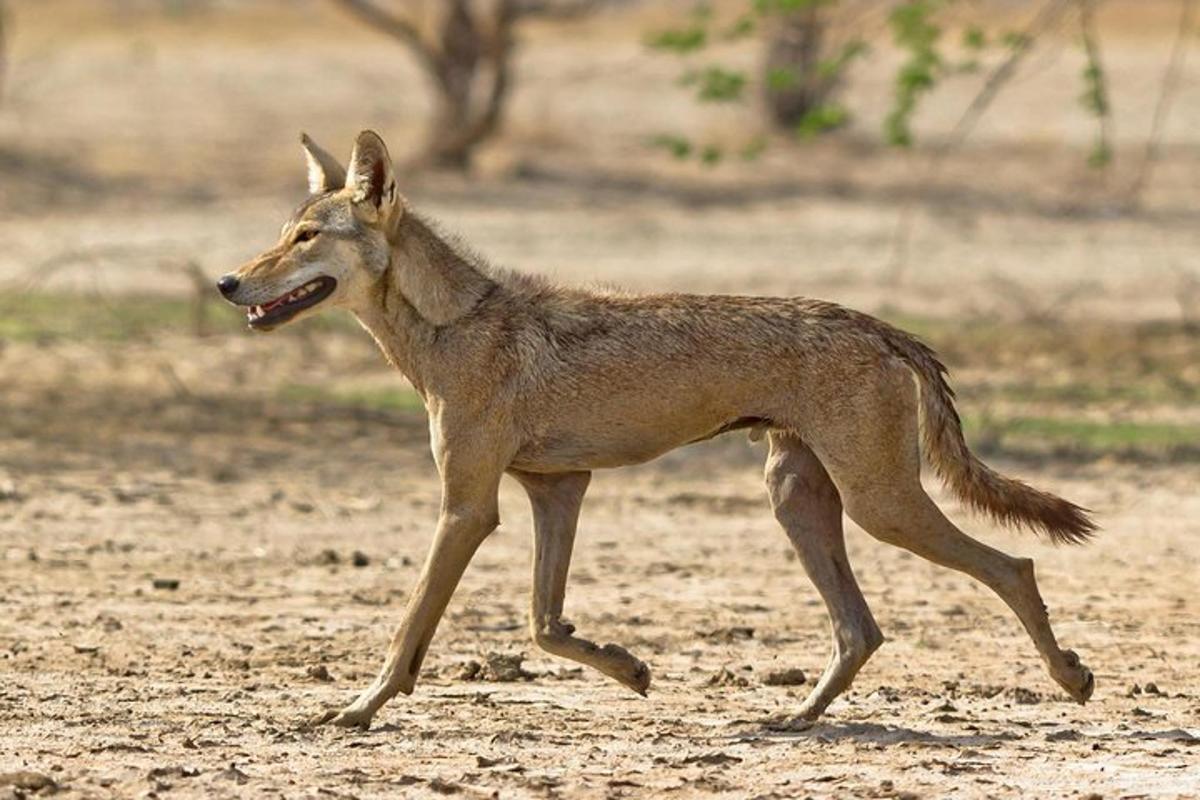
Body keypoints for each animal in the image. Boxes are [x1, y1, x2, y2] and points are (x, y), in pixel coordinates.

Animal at [216, 128, 1099, 729]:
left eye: (305, 237)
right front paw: (630, 668)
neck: (451, 324)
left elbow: (410, 629)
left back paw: (1071, 679)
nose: (226, 281)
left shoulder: (467, 508)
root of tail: (876, 324)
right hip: (798, 500)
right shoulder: (558, 489)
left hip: (880, 505)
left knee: (1011, 566)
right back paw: (795, 719)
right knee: (862, 629)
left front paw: (358, 709)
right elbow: (544, 625)